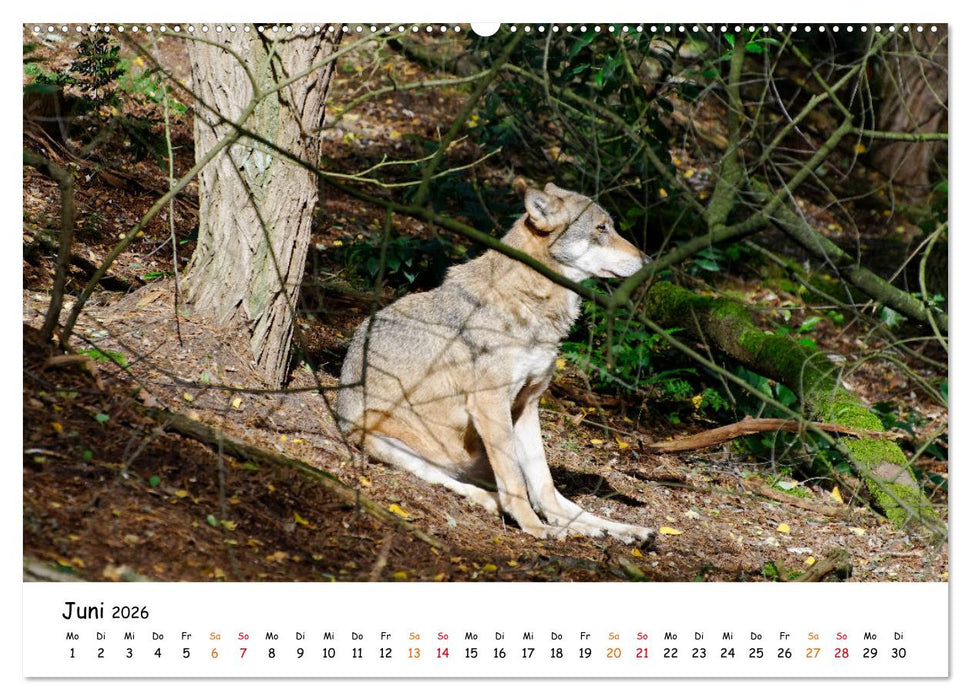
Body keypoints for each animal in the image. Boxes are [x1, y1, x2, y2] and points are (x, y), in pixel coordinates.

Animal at [336, 181, 655, 544]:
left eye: (611, 227)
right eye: (601, 228)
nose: (648, 259)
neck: (532, 301)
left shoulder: (527, 405)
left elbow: (543, 485)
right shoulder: (490, 403)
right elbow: (515, 484)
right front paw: (533, 527)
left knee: (553, 498)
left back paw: (619, 529)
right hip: (394, 443)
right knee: (453, 481)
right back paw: (502, 506)